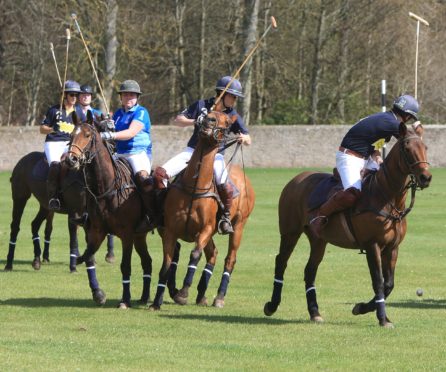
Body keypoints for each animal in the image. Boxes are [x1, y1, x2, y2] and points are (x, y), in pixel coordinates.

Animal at [64, 111, 155, 308]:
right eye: (71, 135)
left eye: (87, 135)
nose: (70, 159)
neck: (106, 186)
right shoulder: (96, 231)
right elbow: (88, 257)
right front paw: (98, 293)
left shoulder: (127, 234)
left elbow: (125, 266)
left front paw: (125, 300)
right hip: (140, 235)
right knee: (147, 262)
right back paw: (144, 297)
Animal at [150, 110, 254, 310]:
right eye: (207, 113)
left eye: (227, 122)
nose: (209, 121)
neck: (194, 186)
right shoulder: (170, 231)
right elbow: (167, 263)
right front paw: (156, 301)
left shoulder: (205, 229)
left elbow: (195, 255)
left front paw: (183, 293)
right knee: (213, 254)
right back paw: (201, 295)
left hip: (239, 226)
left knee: (229, 259)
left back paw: (219, 297)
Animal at [264, 122, 432, 326]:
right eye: (407, 149)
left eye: (425, 148)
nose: (426, 177)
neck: (386, 197)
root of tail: (295, 179)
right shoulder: (372, 245)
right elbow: (378, 281)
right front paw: (382, 318)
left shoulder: (393, 247)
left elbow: (389, 284)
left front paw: (362, 308)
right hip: (290, 232)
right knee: (281, 261)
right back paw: (272, 305)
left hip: (318, 239)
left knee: (310, 270)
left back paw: (315, 312)